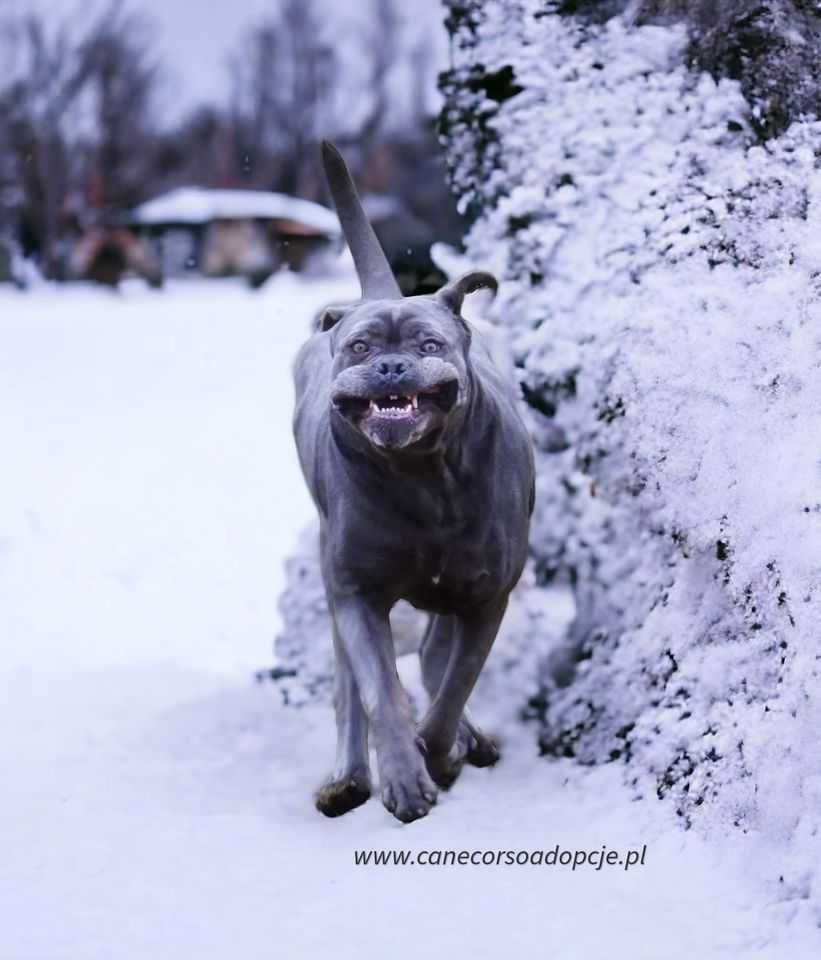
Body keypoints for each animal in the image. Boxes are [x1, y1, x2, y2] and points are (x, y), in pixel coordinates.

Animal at [292, 142, 536, 824]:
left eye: (430, 344)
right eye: (359, 347)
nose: (391, 366)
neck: (422, 477)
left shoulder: (485, 594)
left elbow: (455, 685)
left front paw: (442, 749)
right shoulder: (358, 593)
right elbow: (381, 690)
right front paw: (404, 776)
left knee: (433, 662)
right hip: (334, 576)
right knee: (351, 689)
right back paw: (349, 779)